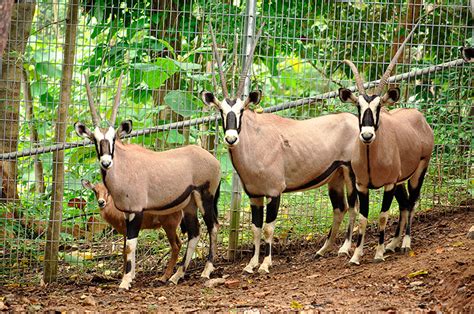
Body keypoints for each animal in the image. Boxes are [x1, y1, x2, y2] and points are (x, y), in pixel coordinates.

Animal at [75, 76, 221, 290]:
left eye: (113, 138)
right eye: (95, 140)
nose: (106, 162)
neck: (124, 166)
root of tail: (214, 160)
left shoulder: (136, 211)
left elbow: (130, 245)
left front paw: (126, 281)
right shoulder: (127, 213)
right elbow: (127, 247)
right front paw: (130, 276)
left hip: (205, 197)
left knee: (213, 226)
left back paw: (206, 270)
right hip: (189, 204)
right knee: (195, 232)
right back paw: (177, 275)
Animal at [200, 25, 360, 274]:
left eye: (242, 110)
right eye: (221, 111)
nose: (231, 138)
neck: (256, 140)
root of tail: (353, 120)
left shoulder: (275, 192)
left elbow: (268, 227)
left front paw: (265, 264)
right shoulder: (255, 195)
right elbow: (256, 228)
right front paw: (251, 264)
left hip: (350, 172)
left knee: (353, 206)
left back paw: (344, 248)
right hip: (335, 177)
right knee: (340, 208)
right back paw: (322, 250)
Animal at [338, 22, 436, 264]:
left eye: (379, 107)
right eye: (358, 107)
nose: (367, 136)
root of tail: (420, 119)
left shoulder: (389, 184)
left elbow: (382, 216)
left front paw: (379, 253)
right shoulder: (362, 185)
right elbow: (363, 218)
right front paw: (356, 255)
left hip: (419, 171)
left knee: (412, 202)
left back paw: (405, 243)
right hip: (401, 180)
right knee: (404, 204)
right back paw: (394, 243)